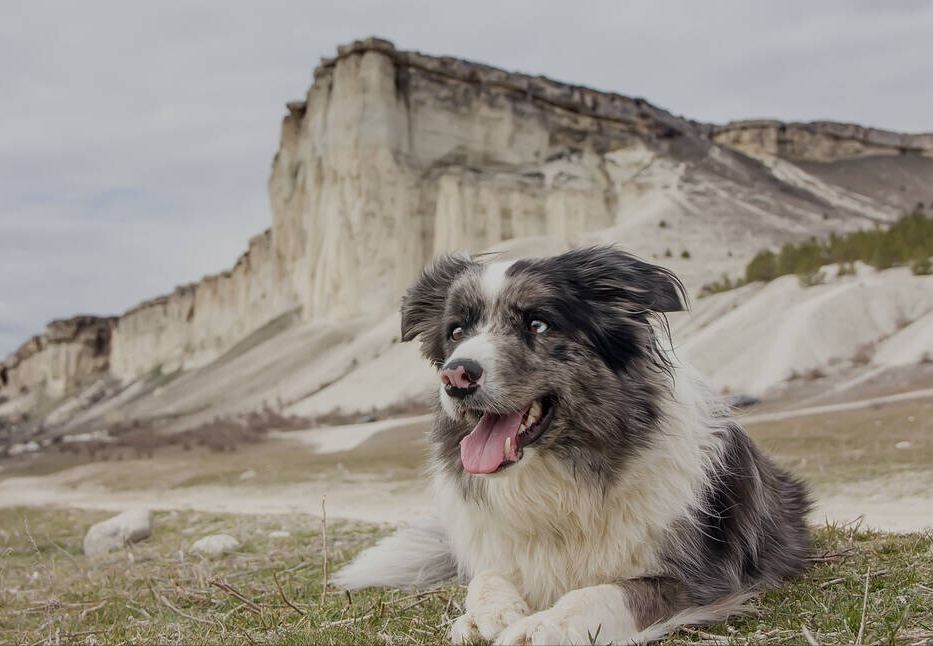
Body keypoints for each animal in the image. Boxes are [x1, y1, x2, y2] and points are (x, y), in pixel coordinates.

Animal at [334, 246, 808, 644]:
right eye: (455, 332)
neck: (560, 481)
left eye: (537, 324)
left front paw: (539, 627)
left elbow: (603, 593)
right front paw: (488, 615)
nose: (455, 376)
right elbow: (484, 579)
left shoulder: (700, 579)